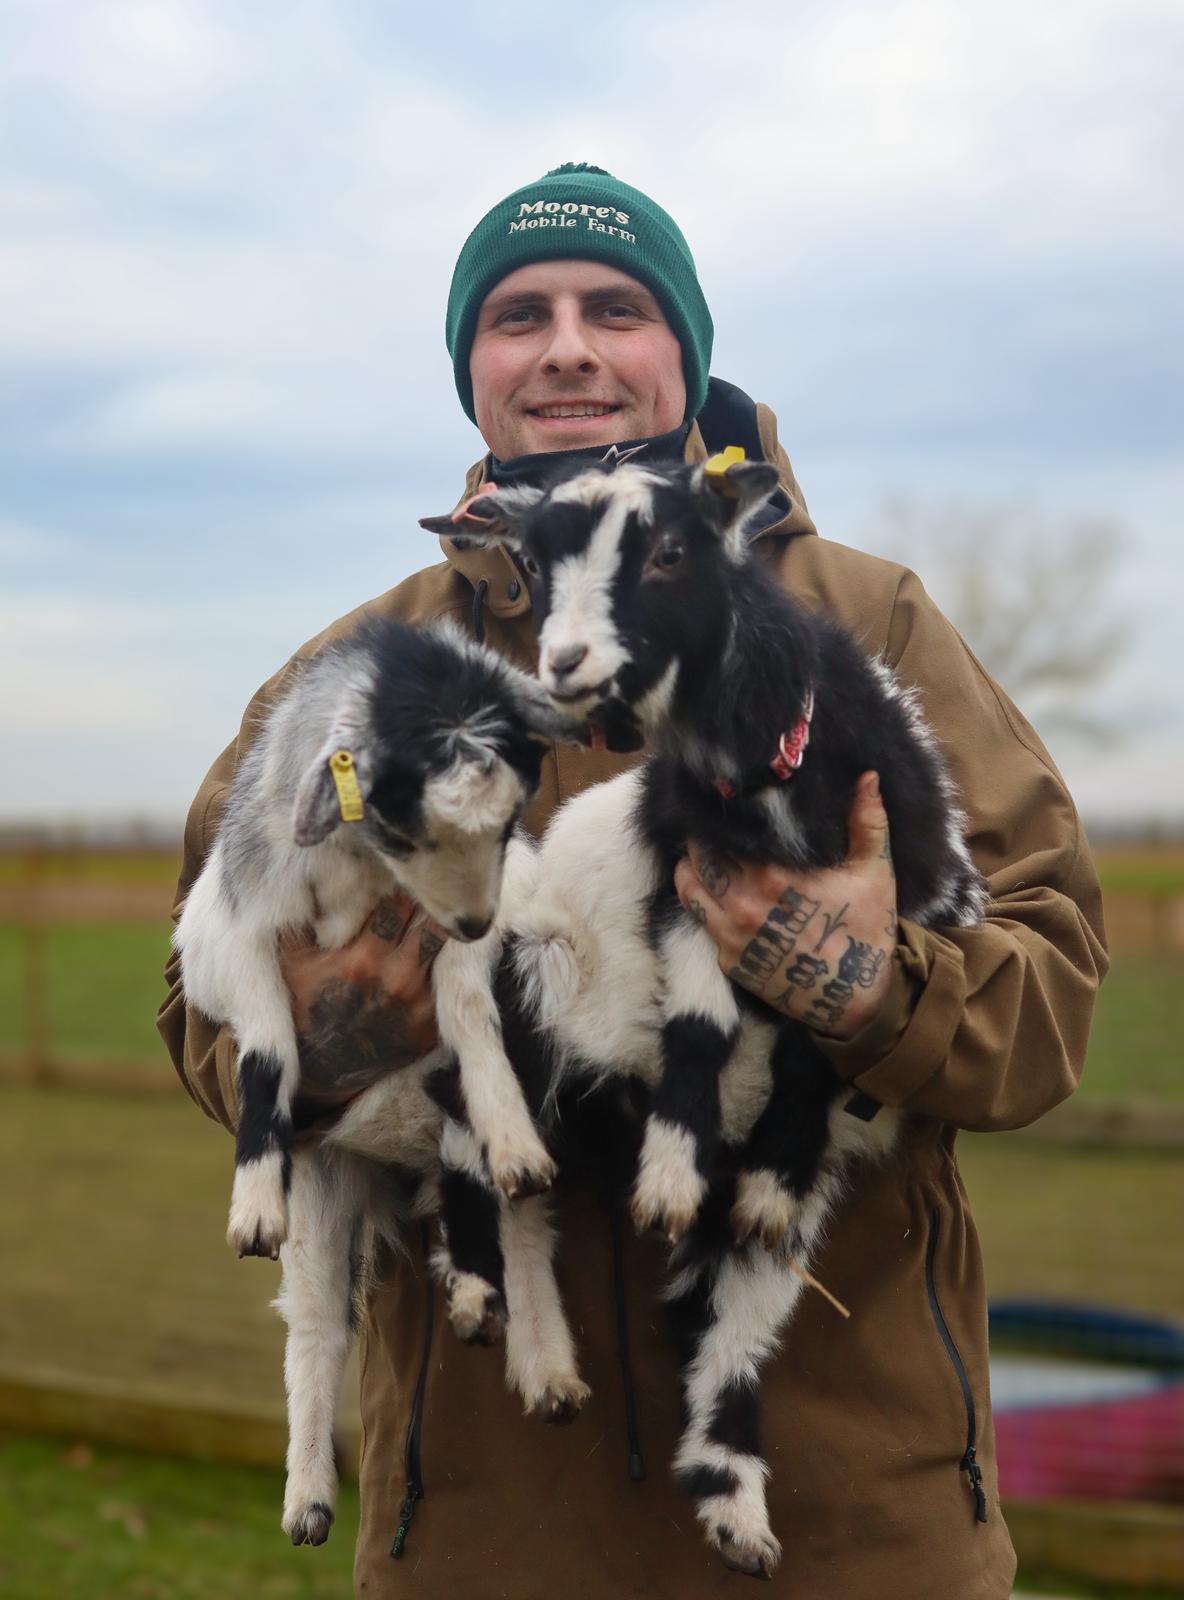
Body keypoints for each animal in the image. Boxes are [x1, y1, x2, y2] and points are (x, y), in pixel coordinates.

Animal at [422, 458, 987, 1576]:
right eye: (533, 562)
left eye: (670, 552)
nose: (563, 662)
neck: (760, 773)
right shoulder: (689, 886)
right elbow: (699, 1026)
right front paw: (670, 1179)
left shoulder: (865, 922)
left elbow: (819, 1049)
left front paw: (761, 1177)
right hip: (530, 980)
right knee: (476, 1129)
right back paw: (484, 1286)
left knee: (723, 1323)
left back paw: (722, 1496)